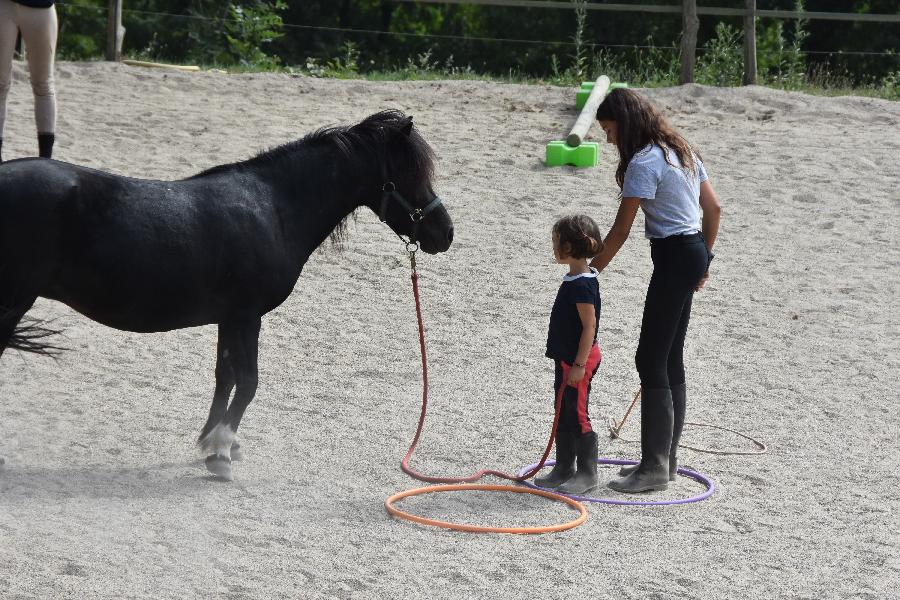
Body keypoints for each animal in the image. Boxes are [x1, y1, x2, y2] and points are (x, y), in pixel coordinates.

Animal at [0, 110, 450, 480]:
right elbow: (248, 381)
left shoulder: (229, 318)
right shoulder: (247, 316)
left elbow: (225, 376)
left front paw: (214, 440)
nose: (445, 233)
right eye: (411, 174)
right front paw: (219, 453)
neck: (274, 207)